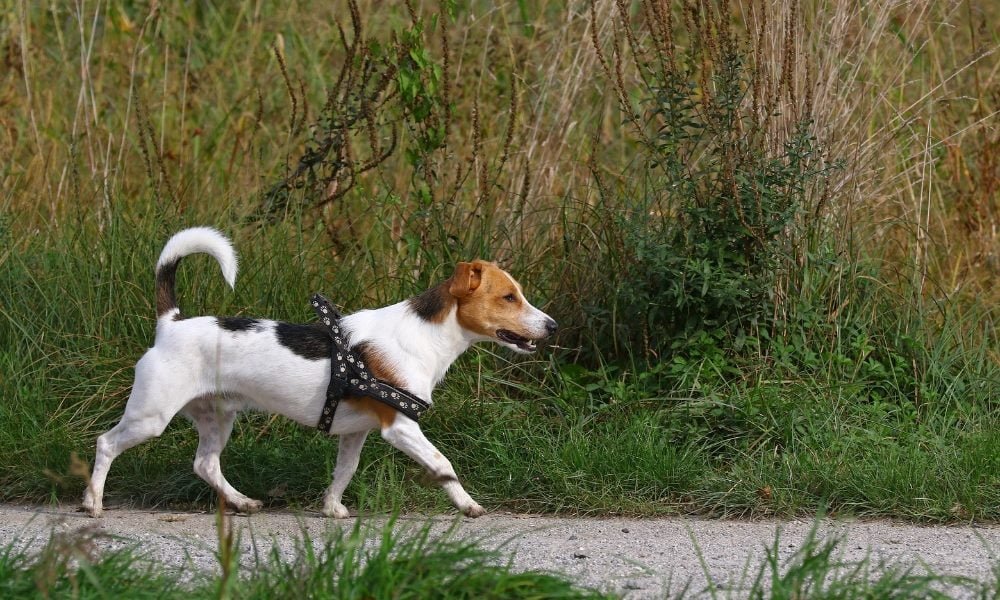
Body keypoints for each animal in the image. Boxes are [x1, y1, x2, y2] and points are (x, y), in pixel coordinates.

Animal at [81, 227, 556, 516]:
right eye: (509, 298)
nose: (552, 326)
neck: (423, 336)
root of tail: (171, 323)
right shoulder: (401, 427)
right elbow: (443, 465)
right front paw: (467, 504)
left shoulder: (356, 432)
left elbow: (343, 473)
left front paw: (331, 509)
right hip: (150, 416)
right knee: (106, 444)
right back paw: (93, 503)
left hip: (218, 416)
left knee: (205, 464)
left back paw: (241, 502)